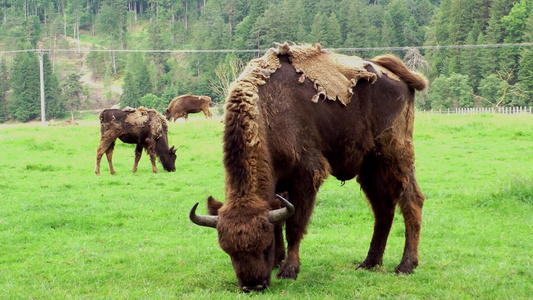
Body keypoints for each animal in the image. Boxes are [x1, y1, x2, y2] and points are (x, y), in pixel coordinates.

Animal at [189, 43, 426, 292]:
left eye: (264, 246)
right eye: (228, 251)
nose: (253, 286)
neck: (267, 111)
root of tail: (400, 77)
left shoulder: (306, 176)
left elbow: (295, 225)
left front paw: (288, 270)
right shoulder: (279, 186)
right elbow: (279, 221)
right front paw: (278, 261)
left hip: (396, 158)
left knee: (411, 202)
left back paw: (406, 265)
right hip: (370, 168)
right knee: (383, 209)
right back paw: (369, 263)